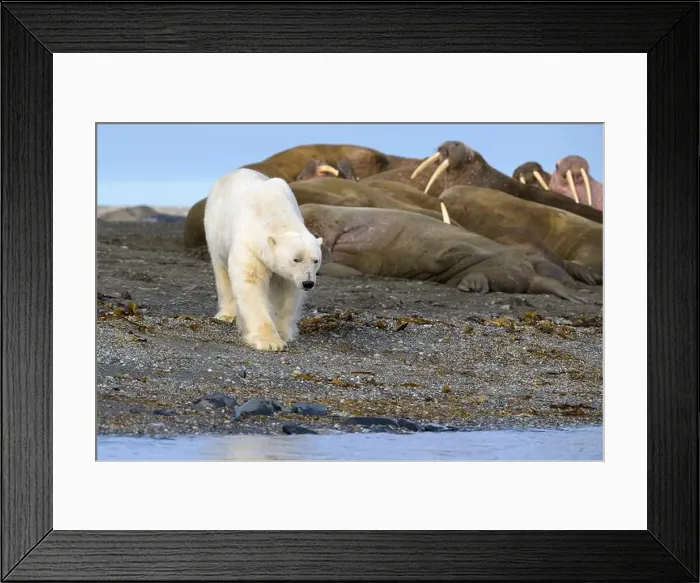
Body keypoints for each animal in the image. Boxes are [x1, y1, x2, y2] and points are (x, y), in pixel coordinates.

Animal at [203, 168, 323, 351]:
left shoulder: (287, 274)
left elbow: (286, 292)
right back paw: (226, 314)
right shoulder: (250, 245)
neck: (274, 211)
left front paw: (283, 332)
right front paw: (270, 342)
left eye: (316, 261)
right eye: (296, 259)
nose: (308, 283)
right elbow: (251, 281)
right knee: (221, 270)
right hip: (215, 231)